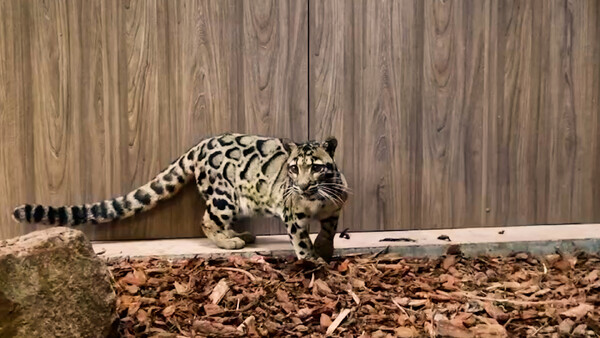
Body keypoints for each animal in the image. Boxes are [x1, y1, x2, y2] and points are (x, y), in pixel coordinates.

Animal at [11, 133, 350, 260]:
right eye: (293, 168)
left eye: (316, 167)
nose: (303, 186)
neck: (319, 199)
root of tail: (200, 144)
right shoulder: (294, 215)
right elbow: (301, 241)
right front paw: (312, 262)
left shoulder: (336, 207)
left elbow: (330, 229)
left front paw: (325, 247)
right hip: (223, 196)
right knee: (207, 220)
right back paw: (229, 242)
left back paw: (239, 235)